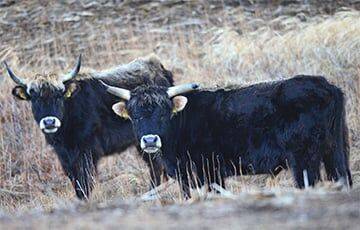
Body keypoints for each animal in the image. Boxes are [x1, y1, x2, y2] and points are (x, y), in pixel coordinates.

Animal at [3, 55, 173, 199]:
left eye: (59, 95)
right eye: (35, 98)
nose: (49, 122)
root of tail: (158, 66)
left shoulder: (87, 153)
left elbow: (85, 183)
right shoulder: (65, 157)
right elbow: (76, 182)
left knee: (157, 166)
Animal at [105, 75, 352, 198]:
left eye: (164, 113)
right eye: (135, 116)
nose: (150, 140)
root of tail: (326, 85)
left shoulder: (206, 172)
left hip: (304, 159)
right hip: (336, 152)